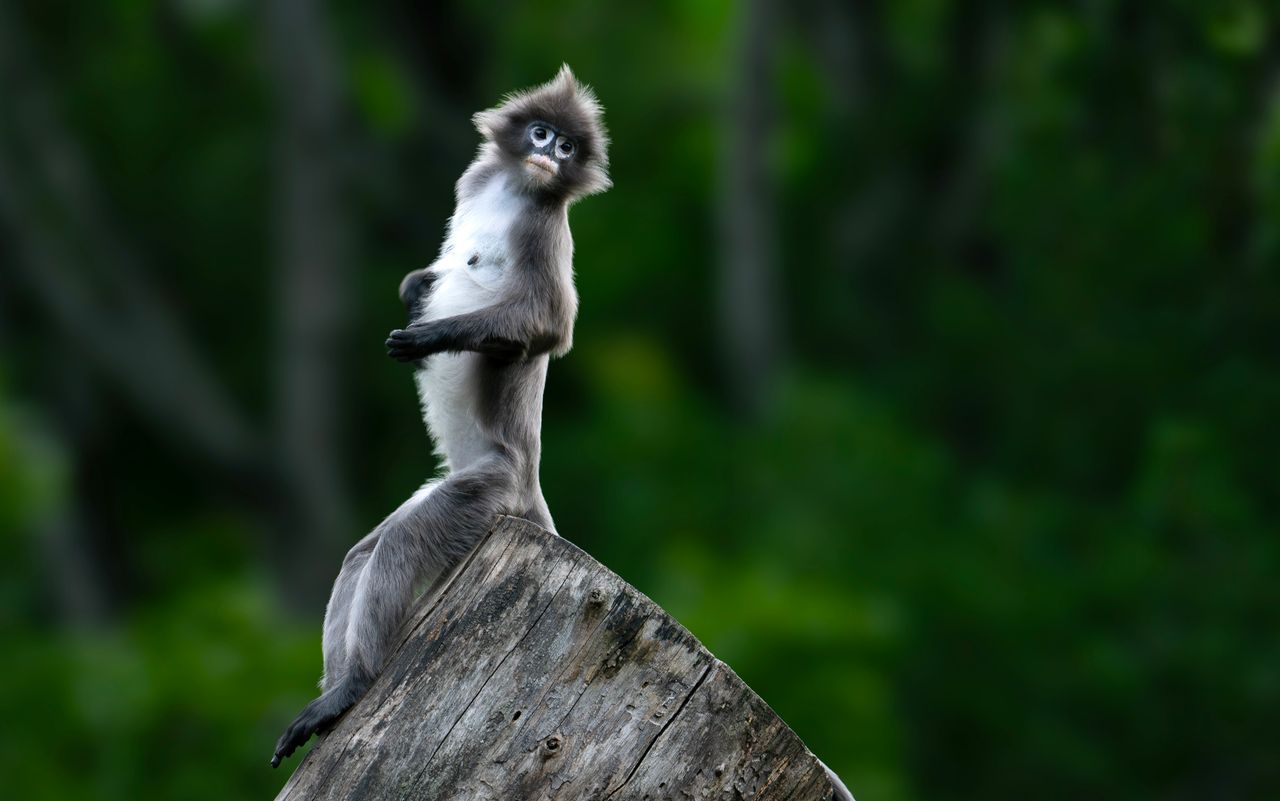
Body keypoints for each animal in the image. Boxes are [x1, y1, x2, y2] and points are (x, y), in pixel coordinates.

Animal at [271, 65, 610, 768]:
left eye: (568, 148)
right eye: (542, 133)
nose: (549, 154)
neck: (515, 190)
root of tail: (527, 484)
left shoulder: (545, 230)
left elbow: (550, 328)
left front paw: (432, 335)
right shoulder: (473, 181)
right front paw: (417, 290)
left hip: (485, 493)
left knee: (401, 542)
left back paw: (352, 686)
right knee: (362, 554)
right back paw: (335, 693)